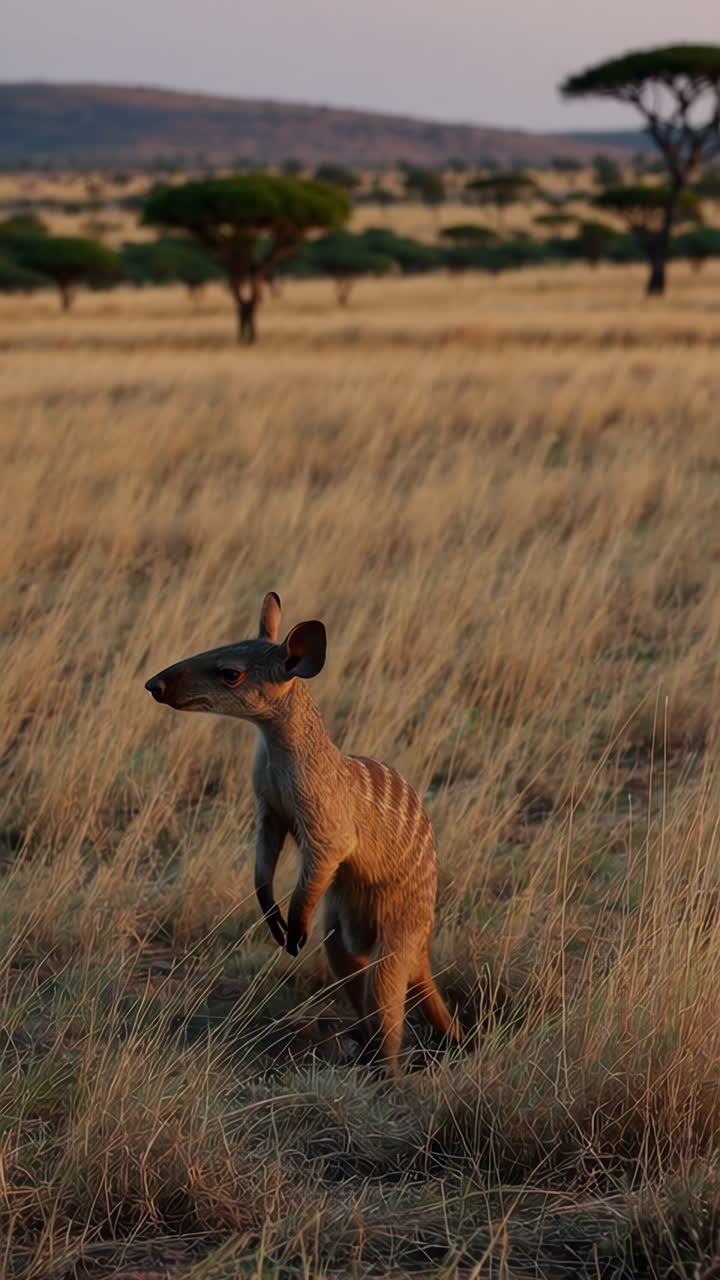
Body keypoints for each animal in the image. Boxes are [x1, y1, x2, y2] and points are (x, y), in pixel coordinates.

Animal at [144, 592, 461, 1072]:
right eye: (214, 648)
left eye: (230, 672)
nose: (154, 685)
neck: (279, 761)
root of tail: (424, 948)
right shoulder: (268, 806)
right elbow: (263, 859)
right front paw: (271, 915)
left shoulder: (325, 820)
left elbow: (320, 865)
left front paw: (294, 926)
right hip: (341, 929)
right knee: (350, 969)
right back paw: (359, 1043)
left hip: (401, 925)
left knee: (386, 990)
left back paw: (386, 1068)